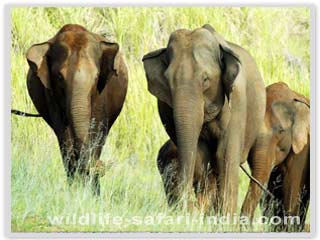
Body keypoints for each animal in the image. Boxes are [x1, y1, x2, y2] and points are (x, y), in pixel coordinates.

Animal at [26, 23, 128, 195]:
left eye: (96, 77)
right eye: (59, 77)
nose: (101, 166)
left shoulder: (101, 92)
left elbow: (97, 130)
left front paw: (92, 194)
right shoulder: (50, 94)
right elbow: (64, 135)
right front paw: (75, 190)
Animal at [142, 24, 264, 216]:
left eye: (205, 79)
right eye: (167, 81)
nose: (187, 206)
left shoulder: (237, 102)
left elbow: (225, 155)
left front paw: (225, 220)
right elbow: (200, 156)